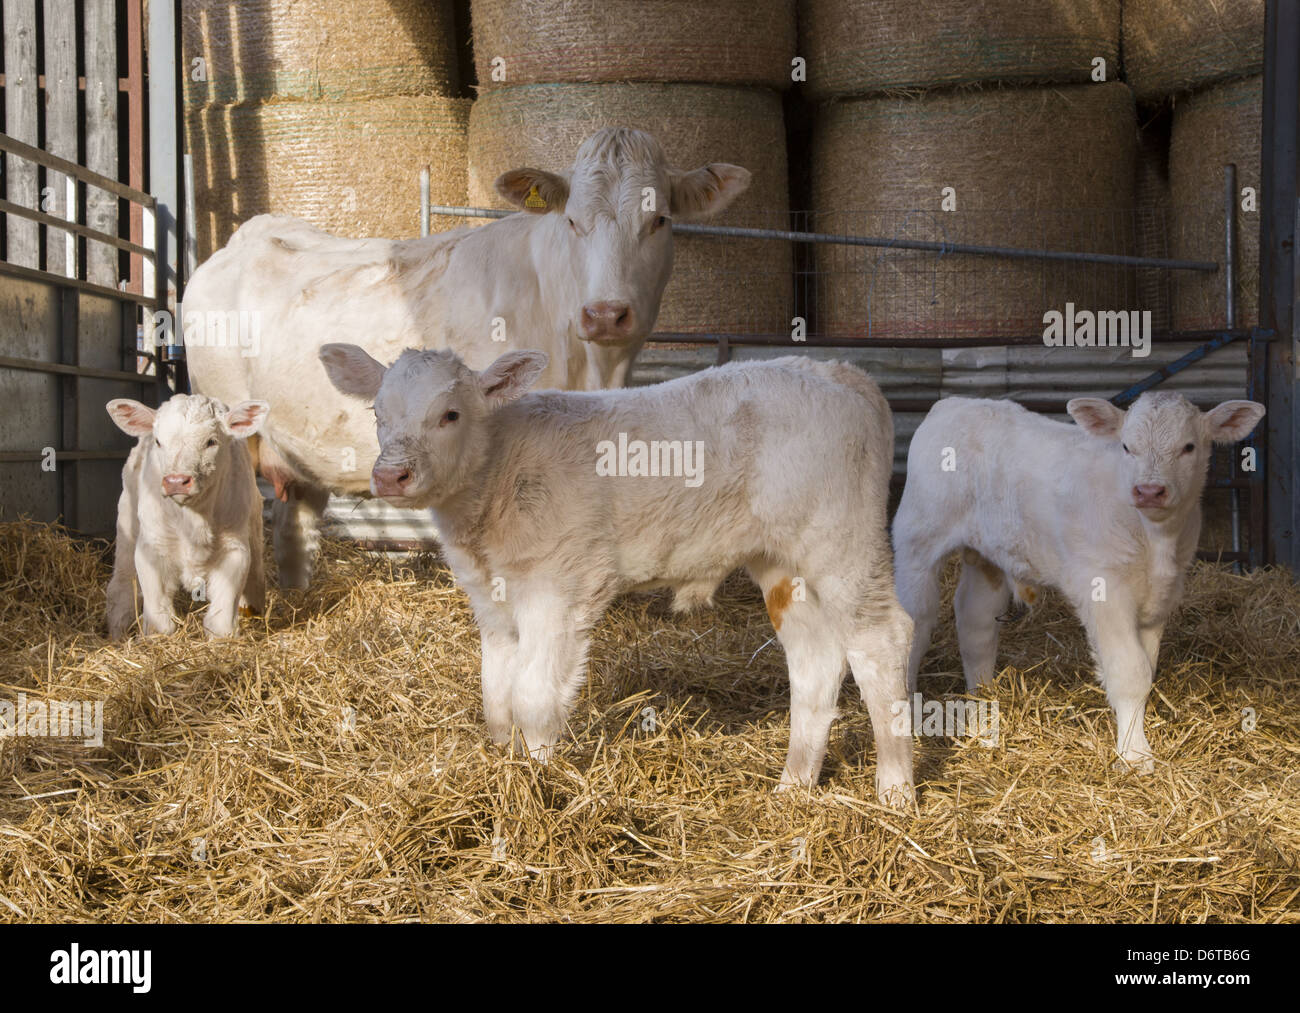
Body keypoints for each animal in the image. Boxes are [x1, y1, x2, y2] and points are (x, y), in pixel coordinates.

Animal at [105, 394, 269, 639]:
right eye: (158, 441)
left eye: (211, 441)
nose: (175, 481)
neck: (193, 519)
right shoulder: (151, 548)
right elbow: (159, 622)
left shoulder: (234, 550)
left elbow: (221, 622)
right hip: (127, 523)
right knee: (122, 586)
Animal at [181, 126, 752, 589]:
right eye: (572, 221)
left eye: (660, 220)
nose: (607, 314)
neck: (591, 365)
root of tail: (244, 237)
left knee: (292, 523)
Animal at [317, 343, 915, 806]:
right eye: (377, 414)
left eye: (450, 415)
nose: (391, 475)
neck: (497, 476)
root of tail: (841, 371)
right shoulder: (491, 600)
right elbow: (496, 700)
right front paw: (504, 769)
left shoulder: (561, 589)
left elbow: (533, 699)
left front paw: (536, 786)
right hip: (783, 562)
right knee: (815, 657)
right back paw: (794, 787)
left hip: (844, 544)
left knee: (881, 641)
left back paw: (895, 791)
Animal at [891, 391, 1266, 772]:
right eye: (1127, 447)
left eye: (1188, 447)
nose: (1148, 490)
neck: (1155, 538)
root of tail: (955, 402)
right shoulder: (1104, 589)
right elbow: (1129, 672)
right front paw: (1135, 755)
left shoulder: (1162, 595)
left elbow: (1147, 670)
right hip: (917, 540)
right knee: (915, 623)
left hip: (986, 554)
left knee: (975, 622)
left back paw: (982, 710)